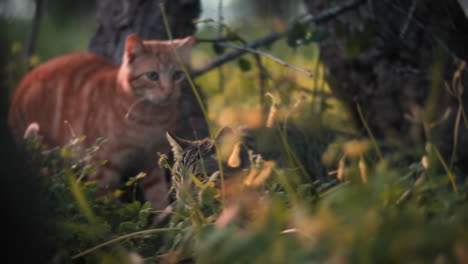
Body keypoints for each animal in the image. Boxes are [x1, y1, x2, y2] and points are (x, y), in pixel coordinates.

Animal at [9, 34, 196, 209]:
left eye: (177, 75)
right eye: (152, 76)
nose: (169, 91)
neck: (150, 120)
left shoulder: (151, 165)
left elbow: (158, 198)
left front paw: (164, 219)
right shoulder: (103, 167)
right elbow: (110, 205)